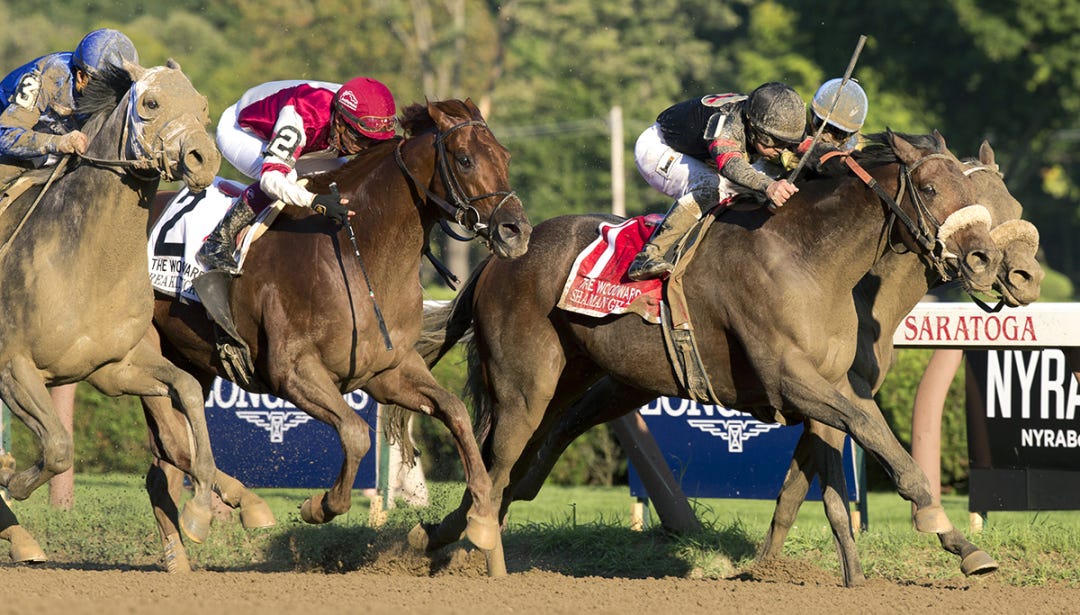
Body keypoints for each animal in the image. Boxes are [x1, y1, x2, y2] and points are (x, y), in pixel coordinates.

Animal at [0, 60, 221, 548]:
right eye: (151, 102)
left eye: (202, 105)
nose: (205, 159)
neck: (87, 265)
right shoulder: (12, 366)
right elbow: (58, 449)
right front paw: (10, 480)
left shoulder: (114, 367)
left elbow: (188, 389)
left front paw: (199, 509)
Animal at [138, 98, 532, 572]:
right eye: (465, 159)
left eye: (506, 156)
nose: (517, 231)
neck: (356, 249)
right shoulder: (292, 373)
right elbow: (356, 434)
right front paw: (320, 506)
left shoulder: (387, 371)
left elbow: (454, 411)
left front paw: (482, 520)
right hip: (144, 354)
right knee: (177, 447)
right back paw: (238, 508)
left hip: (189, 360)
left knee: (165, 463)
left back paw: (184, 552)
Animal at [404, 131, 1005, 579]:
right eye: (930, 186)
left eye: (968, 186)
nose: (983, 258)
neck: (808, 257)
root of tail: (502, 251)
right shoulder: (788, 378)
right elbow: (870, 435)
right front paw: (934, 517)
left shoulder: (832, 385)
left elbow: (835, 475)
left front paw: (931, 556)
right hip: (525, 383)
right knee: (501, 458)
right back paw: (485, 551)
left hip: (581, 379)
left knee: (514, 460)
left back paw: (442, 534)